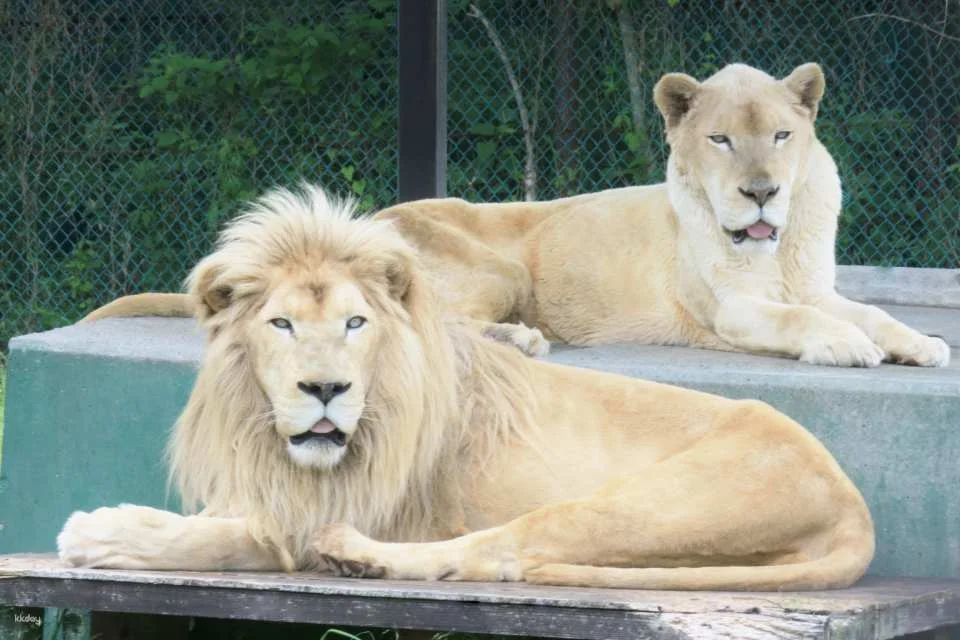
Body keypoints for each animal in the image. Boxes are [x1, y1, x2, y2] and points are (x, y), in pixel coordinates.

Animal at [58, 185, 875, 591]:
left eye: (355, 322)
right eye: (282, 324)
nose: (325, 389)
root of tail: (853, 505)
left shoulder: (343, 504)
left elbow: (226, 538)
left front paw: (101, 534)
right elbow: (220, 517)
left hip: (638, 505)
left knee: (495, 552)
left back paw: (355, 554)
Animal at [81, 62, 949, 368]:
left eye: (780, 136)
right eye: (721, 140)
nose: (762, 191)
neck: (775, 244)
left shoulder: (816, 284)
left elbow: (871, 310)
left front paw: (918, 344)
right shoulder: (732, 308)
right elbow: (802, 322)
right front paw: (845, 347)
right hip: (494, 264)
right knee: (429, 327)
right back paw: (525, 340)